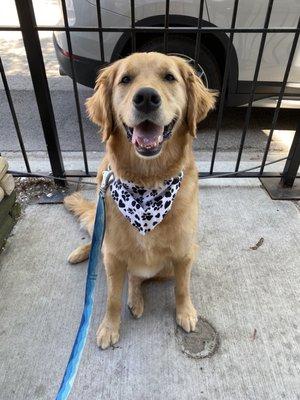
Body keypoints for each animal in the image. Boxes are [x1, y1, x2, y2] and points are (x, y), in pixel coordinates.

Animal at [65, 51, 216, 348]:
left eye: (169, 77)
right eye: (126, 79)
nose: (146, 97)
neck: (147, 184)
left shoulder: (184, 253)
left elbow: (182, 288)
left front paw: (185, 312)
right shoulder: (113, 256)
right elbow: (112, 298)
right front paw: (109, 327)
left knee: (136, 277)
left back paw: (135, 299)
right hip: (101, 228)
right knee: (97, 244)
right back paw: (82, 253)